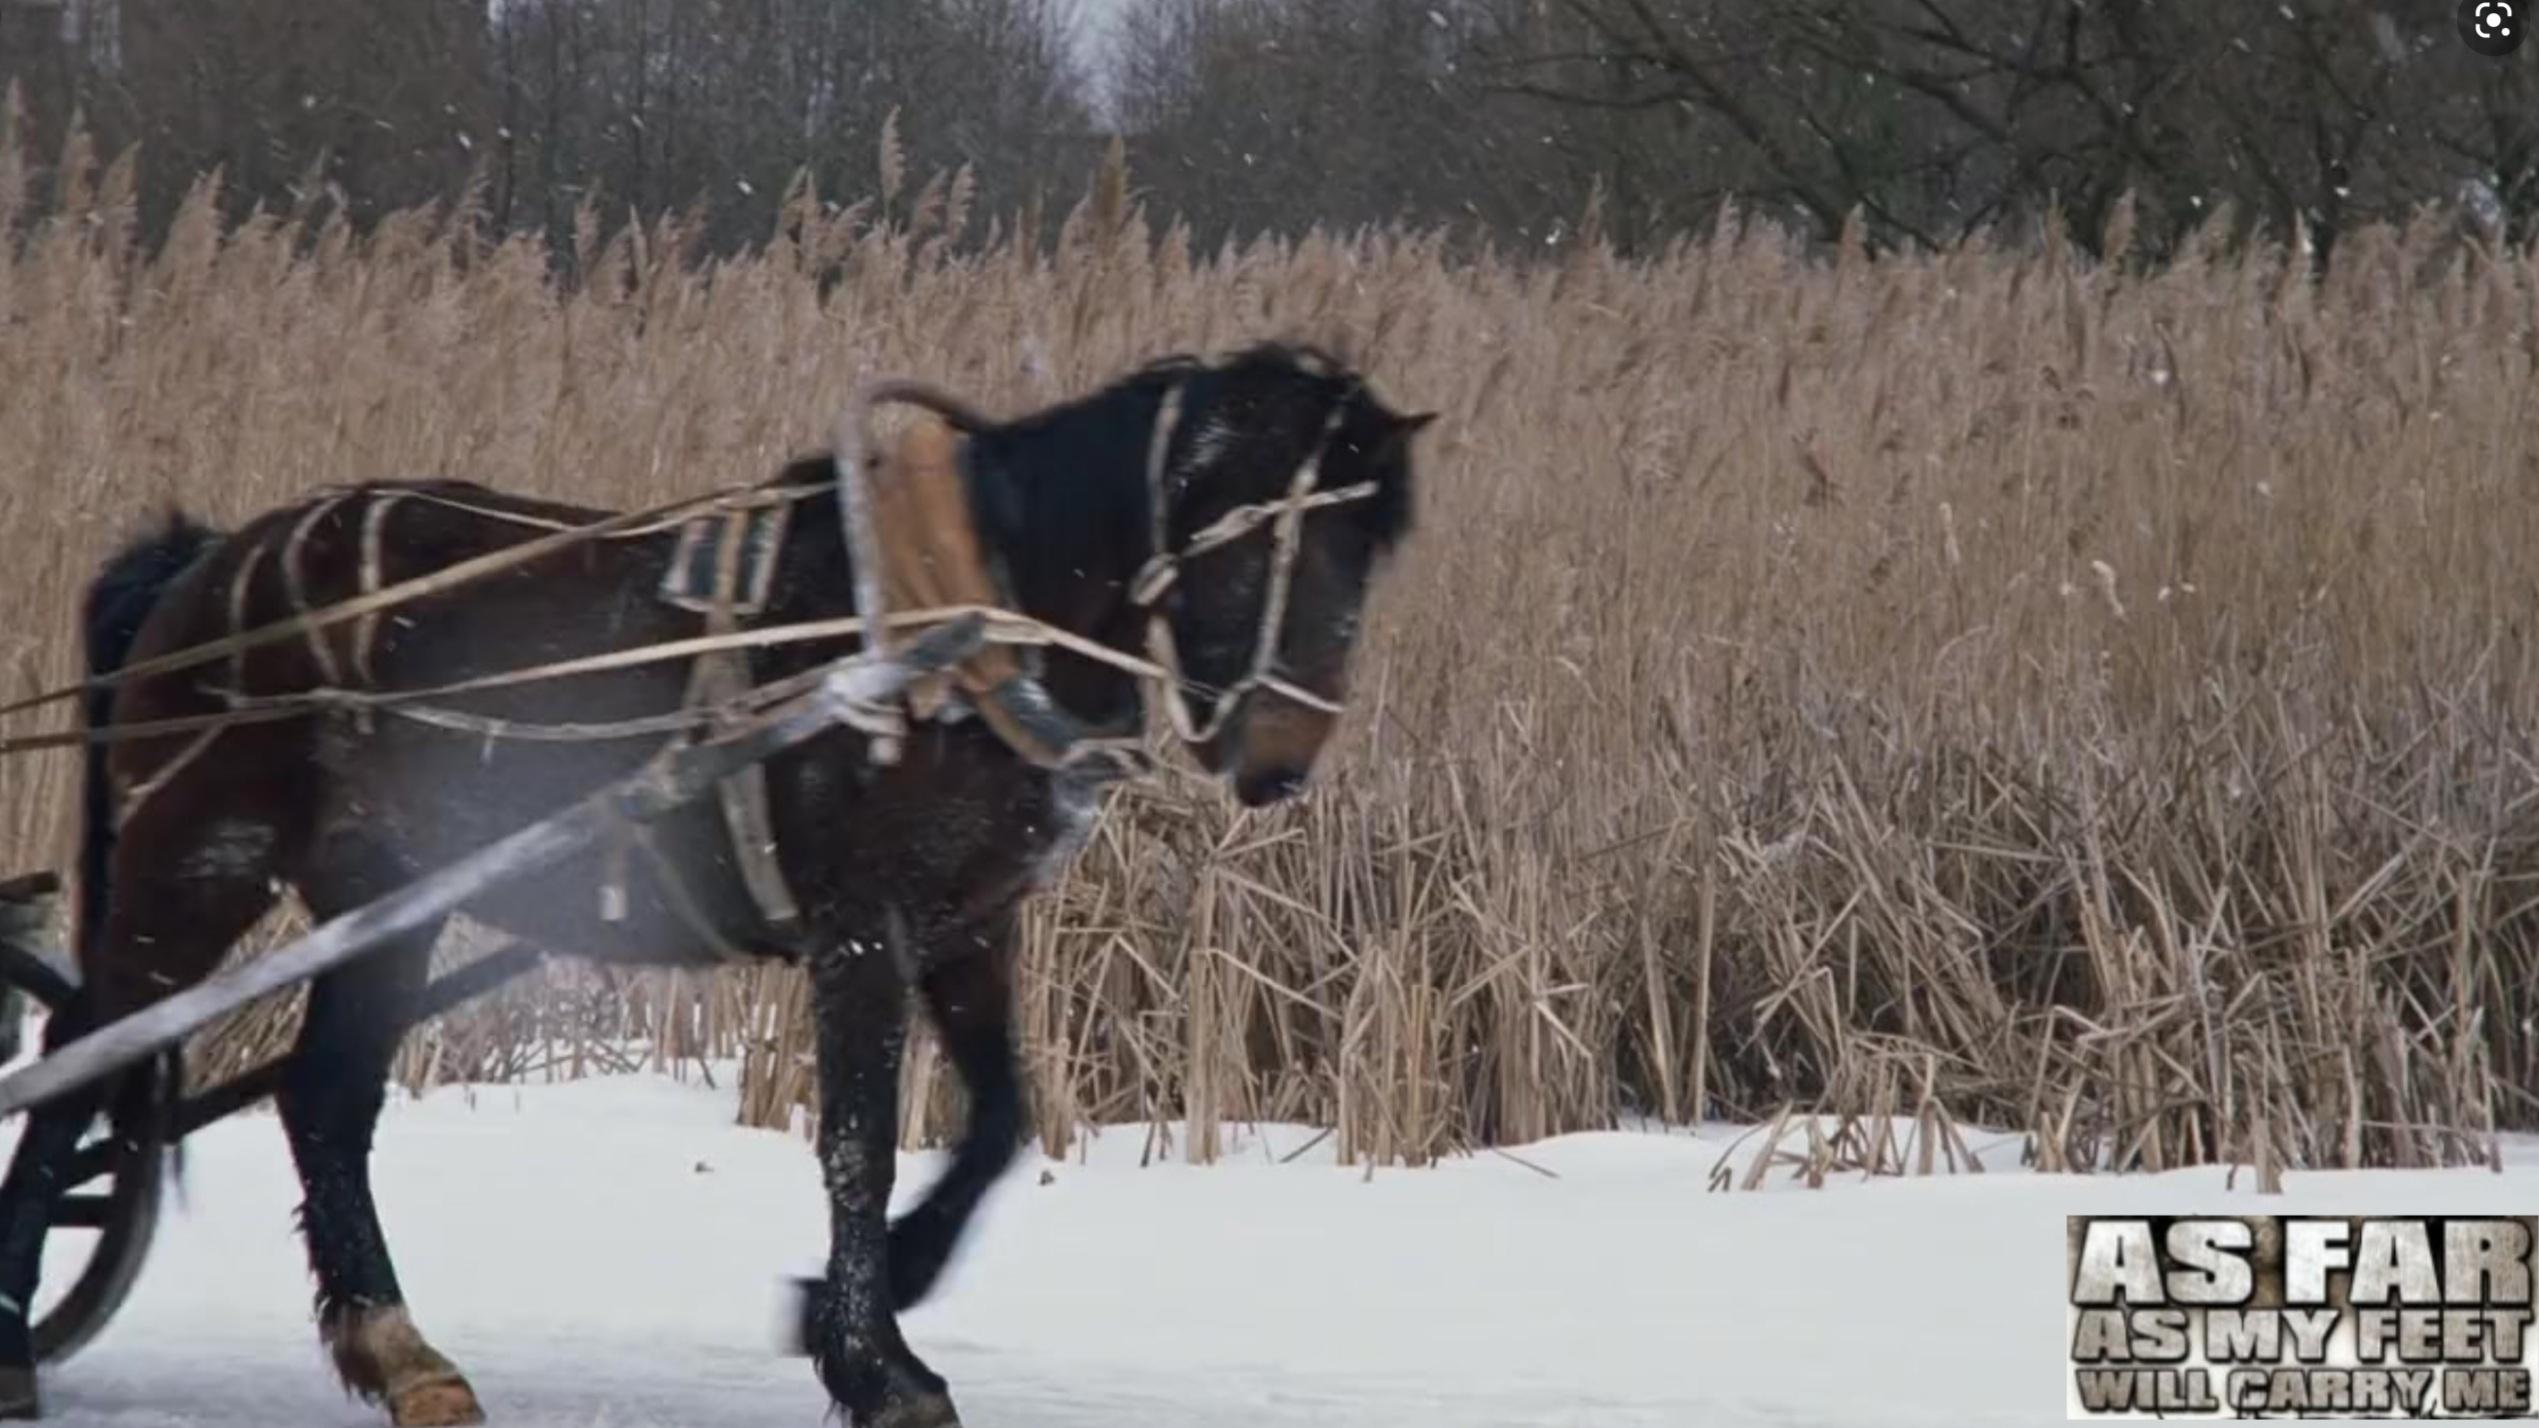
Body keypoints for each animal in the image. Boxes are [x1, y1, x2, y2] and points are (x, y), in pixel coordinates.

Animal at [0, 337, 1442, 1412]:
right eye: (1250, 532)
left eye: (1367, 551)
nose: (1280, 759)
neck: (953, 621)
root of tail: (205, 557)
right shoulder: (861, 926)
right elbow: (858, 1144)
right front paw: (874, 1365)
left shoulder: (970, 926)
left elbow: (995, 1124)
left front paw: (870, 1303)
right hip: (198, 862)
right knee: (79, 1057)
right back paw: (20, 1337)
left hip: (382, 896)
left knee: (323, 1100)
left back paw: (399, 1353)